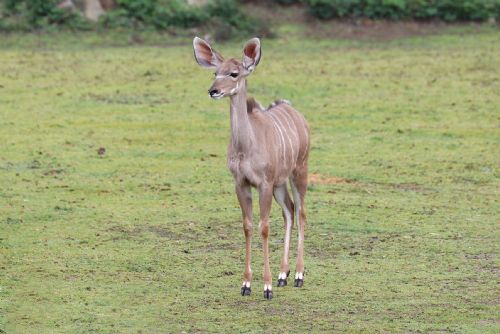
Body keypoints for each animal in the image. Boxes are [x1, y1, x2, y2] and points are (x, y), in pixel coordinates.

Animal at [194, 36, 308, 300]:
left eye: (234, 73)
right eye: (215, 72)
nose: (213, 91)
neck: (246, 146)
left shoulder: (263, 183)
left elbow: (263, 227)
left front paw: (266, 287)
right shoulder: (241, 183)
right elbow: (247, 226)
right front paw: (246, 284)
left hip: (299, 171)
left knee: (301, 213)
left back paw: (298, 275)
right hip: (280, 184)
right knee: (289, 210)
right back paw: (283, 275)